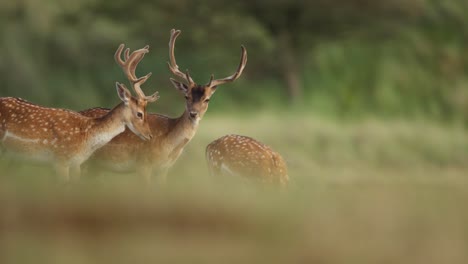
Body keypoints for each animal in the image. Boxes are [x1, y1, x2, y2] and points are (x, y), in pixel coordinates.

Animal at [79, 28, 249, 184]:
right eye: (186, 96)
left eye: (207, 99)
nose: (193, 113)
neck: (168, 147)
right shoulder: (143, 165)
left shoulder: (164, 170)